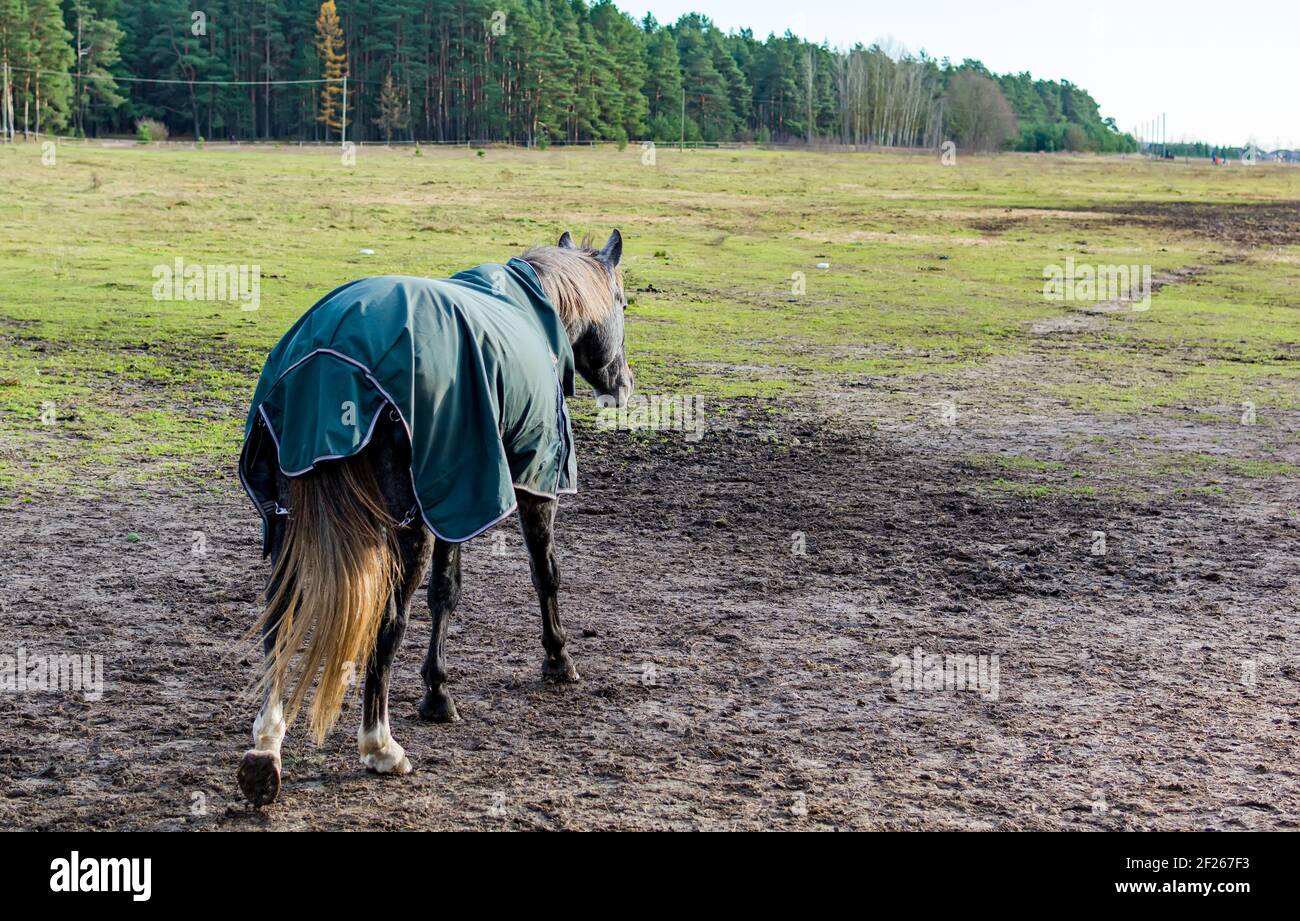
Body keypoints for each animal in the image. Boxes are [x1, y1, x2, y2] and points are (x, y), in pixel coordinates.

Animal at [237, 230, 634, 806]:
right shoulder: (531, 482)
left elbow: (447, 592)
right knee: (388, 622)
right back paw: (380, 746)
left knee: (279, 617)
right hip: (407, 527)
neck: (534, 304)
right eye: (623, 303)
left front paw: (437, 690)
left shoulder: (459, 497)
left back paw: (265, 750)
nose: (623, 385)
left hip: (292, 522)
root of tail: (327, 358)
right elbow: (545, 573)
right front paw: (559, 660)